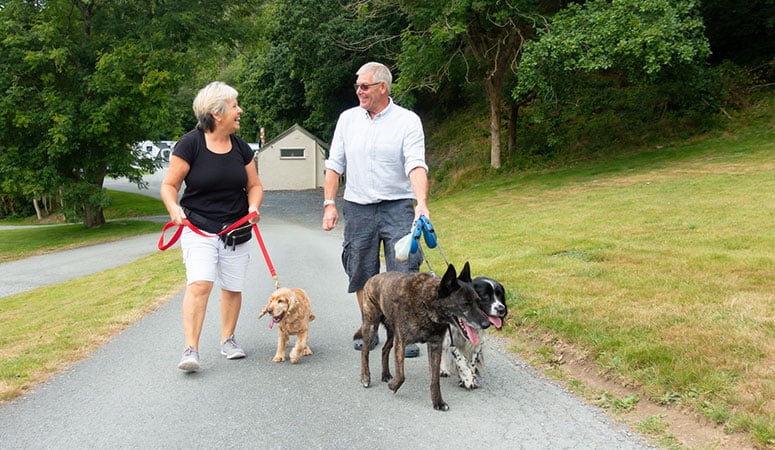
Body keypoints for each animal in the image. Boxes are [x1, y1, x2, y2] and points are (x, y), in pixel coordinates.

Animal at [360, 260, 492, 412]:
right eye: (465, 304)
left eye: (478, 301)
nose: (487, 324)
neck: (425, 303)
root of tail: (372, 278)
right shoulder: (401, 342)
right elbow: (401, 375)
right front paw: (393, 385)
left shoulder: (435, 346)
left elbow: (435, 379)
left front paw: (438, 402)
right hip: (371, 326)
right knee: (365, 352)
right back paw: (365, 377)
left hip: (392, 334)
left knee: (385, 349)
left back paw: (385, 374)